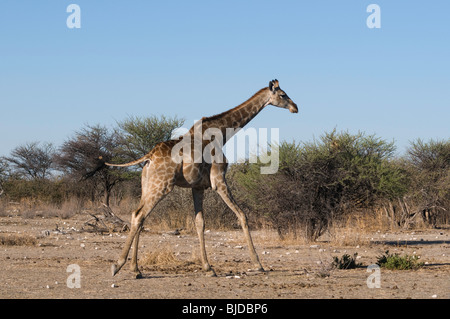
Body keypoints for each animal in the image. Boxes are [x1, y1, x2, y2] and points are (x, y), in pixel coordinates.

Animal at [105, 79, 298, 278]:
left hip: (147, 184)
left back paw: (135, 269)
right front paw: (258, 264)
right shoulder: (218, 180)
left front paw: (208, 267)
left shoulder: (197, 186)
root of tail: (149, 156)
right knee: (139, 215)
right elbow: (242, 215)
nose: (295, 108)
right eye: (283, 94)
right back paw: (117, 265)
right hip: (162, 185)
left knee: (139, 216)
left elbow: (200, 223)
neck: (222, 134)